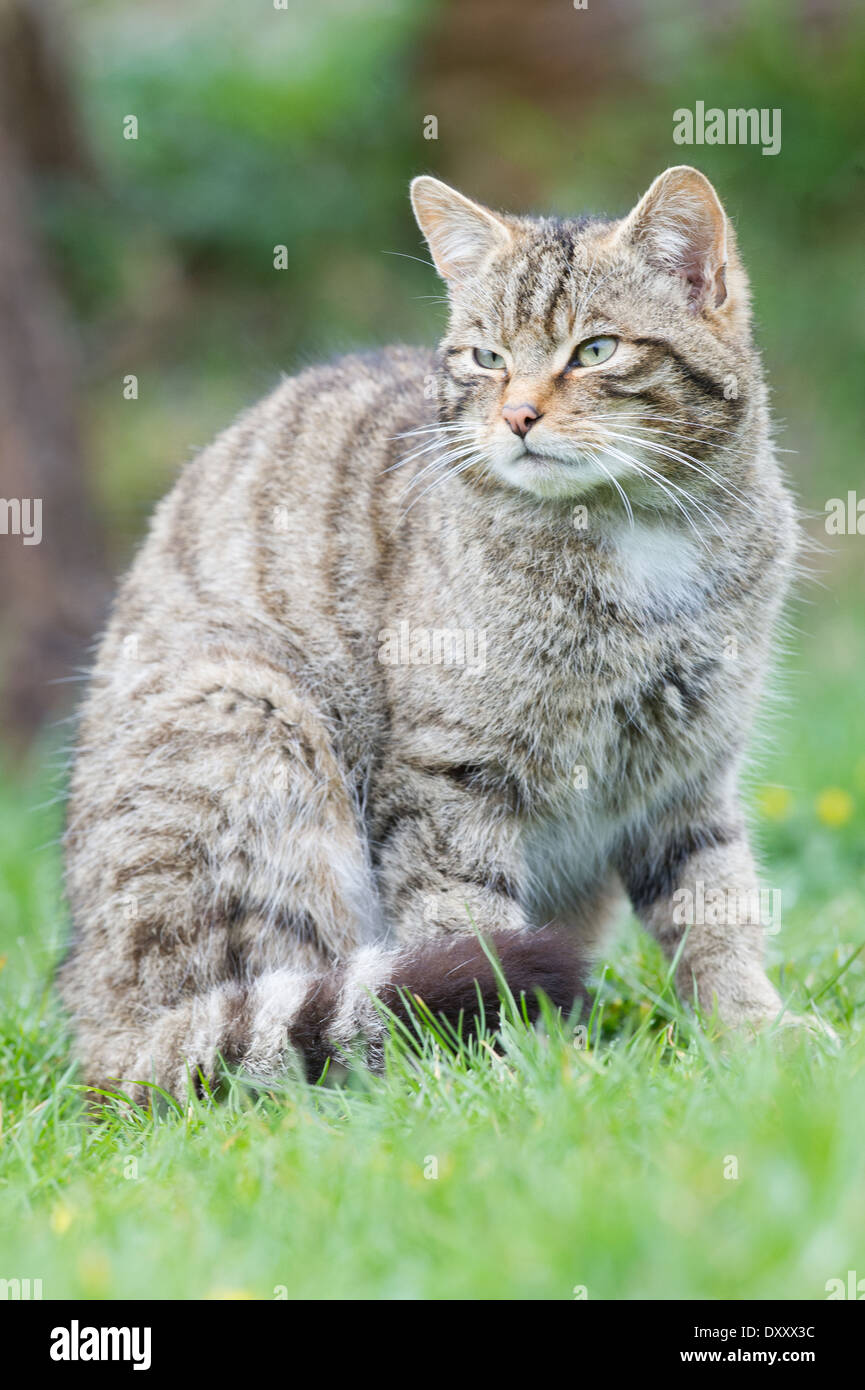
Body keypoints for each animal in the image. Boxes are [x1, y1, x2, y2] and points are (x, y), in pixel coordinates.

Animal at [59, 162, 801, 1100]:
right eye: (487, 358)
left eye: (594, 350)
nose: (517, 416)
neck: (635, 535)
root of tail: (94, 1020)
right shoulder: (452, 777)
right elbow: (467, 922)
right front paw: (509, 1073)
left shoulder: (690, 775)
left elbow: (716, 908)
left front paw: (754, 1035)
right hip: (256, 720)